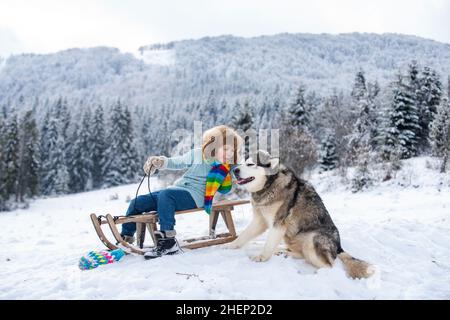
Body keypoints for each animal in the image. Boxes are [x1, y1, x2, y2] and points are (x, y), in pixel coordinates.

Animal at [227, 150, 374, 278]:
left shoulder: (278, 224)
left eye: (251, 164)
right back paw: (282, 252)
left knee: (329, 266)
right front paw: (229, 246)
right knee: (301, 254)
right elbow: (243, 237)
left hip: (312, 240)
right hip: (291, 237)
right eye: (242, 162)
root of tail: (339, 247)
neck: (269, 185)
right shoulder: (259, 221)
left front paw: (261, 257)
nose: (234, 170)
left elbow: (268, 245)